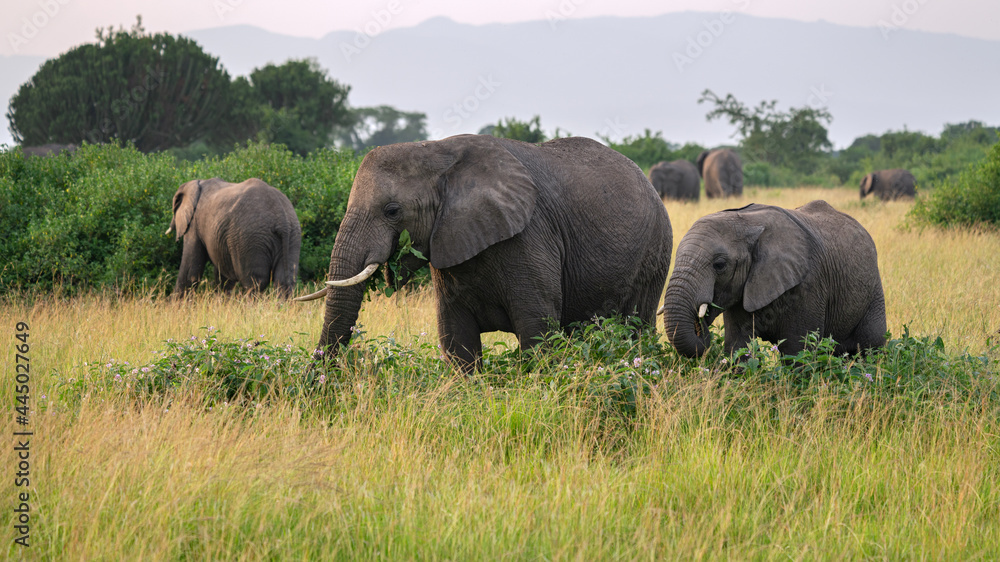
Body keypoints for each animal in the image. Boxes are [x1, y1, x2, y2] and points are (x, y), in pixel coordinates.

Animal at [166, 178, 300, 298]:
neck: (198, 183)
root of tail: (281, 217)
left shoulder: (194, 224)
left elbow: (190, 271)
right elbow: (224, 275)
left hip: (249, 239)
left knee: (254, 283)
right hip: (292, 236)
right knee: (283, 282)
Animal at [294, 133, 672, 370]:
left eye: (392, 211)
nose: (320, 376)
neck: (436, 152)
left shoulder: (530, 235)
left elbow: (537, 331)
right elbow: (456, 339)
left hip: (655, 253)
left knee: (638, 328)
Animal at [664, 200, 884, 354]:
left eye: (719, 265)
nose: (700, 323)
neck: (746, 221)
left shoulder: (808, 286)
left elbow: (798, 351)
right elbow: (737, 346)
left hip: (873, 290)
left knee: (870, 348)